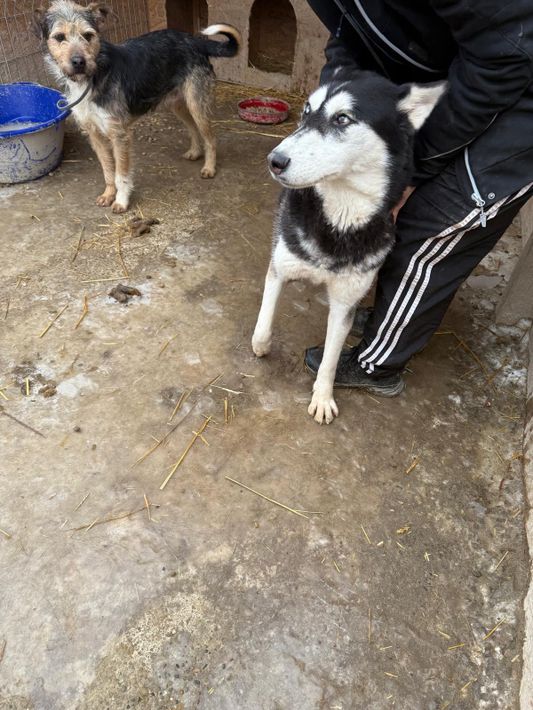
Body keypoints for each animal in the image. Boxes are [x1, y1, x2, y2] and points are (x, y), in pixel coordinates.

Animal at [34, 1, 241, 212]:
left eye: (88, 35)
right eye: (60, 37)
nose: (79, 62)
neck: (92, 77)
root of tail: (194, 40)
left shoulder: (119, 135)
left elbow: (121, 174)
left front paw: (121, 201)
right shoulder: (94, 134)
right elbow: (108, 170)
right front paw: (108, 194)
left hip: (196, 103)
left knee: (211, 138)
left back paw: (209, 167)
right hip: (177, 104)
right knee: (192, 128)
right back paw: (195, 152)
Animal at [252, 72, 445, 424]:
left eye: (342, 118)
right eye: (306, 111)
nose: (275, 161)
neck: (339, 221)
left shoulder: (344, 302)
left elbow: (330, 360)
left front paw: (323, 397)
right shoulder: (280, 267)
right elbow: (264, 318)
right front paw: (261, 345)